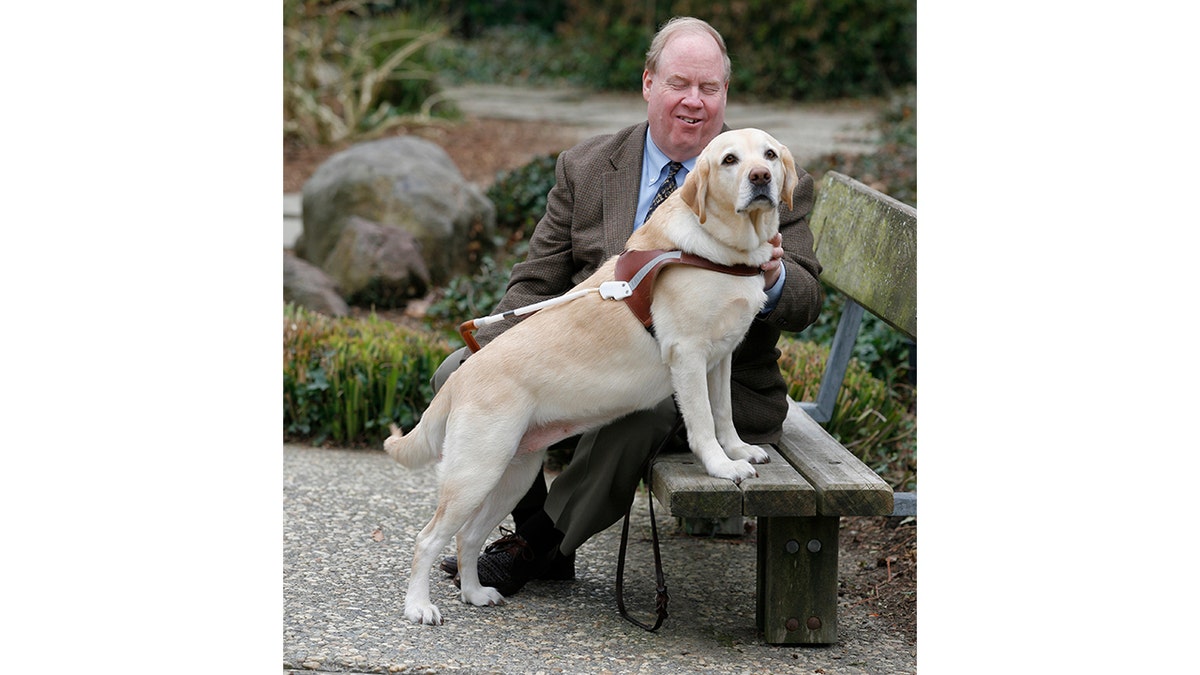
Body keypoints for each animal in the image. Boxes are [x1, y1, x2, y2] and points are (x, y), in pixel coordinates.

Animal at [384, 127, 796, 624]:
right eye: (730, 160)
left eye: (768, 155)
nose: (760, 177)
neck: (720, 249)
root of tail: (462, 378)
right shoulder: (689, 355)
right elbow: (702, 424)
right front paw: (720, 466)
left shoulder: (721, 357)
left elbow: (724, 414)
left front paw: (739, 451)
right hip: (475, 471)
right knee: (429, 537)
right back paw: (419, 607)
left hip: (512, 471)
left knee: (468, 535)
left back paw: (475, 593)